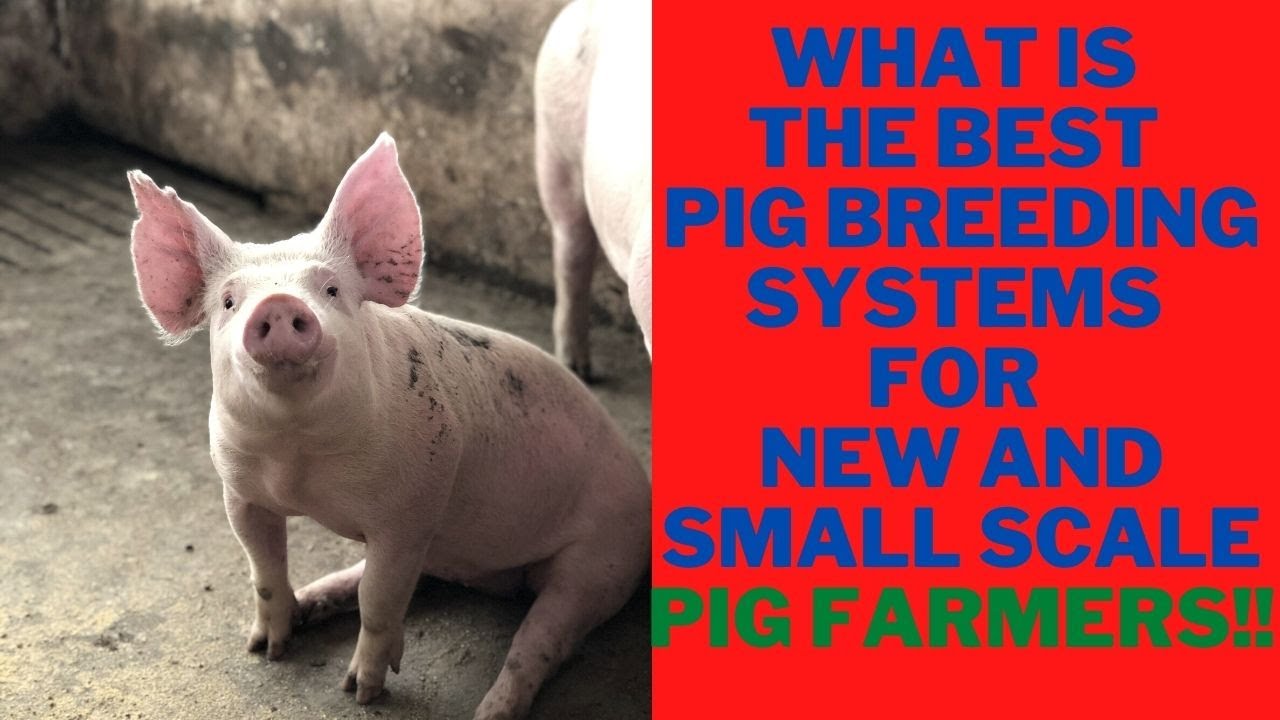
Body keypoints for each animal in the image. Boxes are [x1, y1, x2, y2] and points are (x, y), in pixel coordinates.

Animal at [127, 134, 650, 720]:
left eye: (331, 290)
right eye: (229, 301)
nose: (279, 304)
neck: (298, 456)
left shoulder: (411, 510)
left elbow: (378, 601)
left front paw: (360, 692)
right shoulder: (240, 491)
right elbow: (264, 569)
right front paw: (265, 650)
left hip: (602, 558)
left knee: (538, 641)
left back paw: (489, 710)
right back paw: (311, 603)